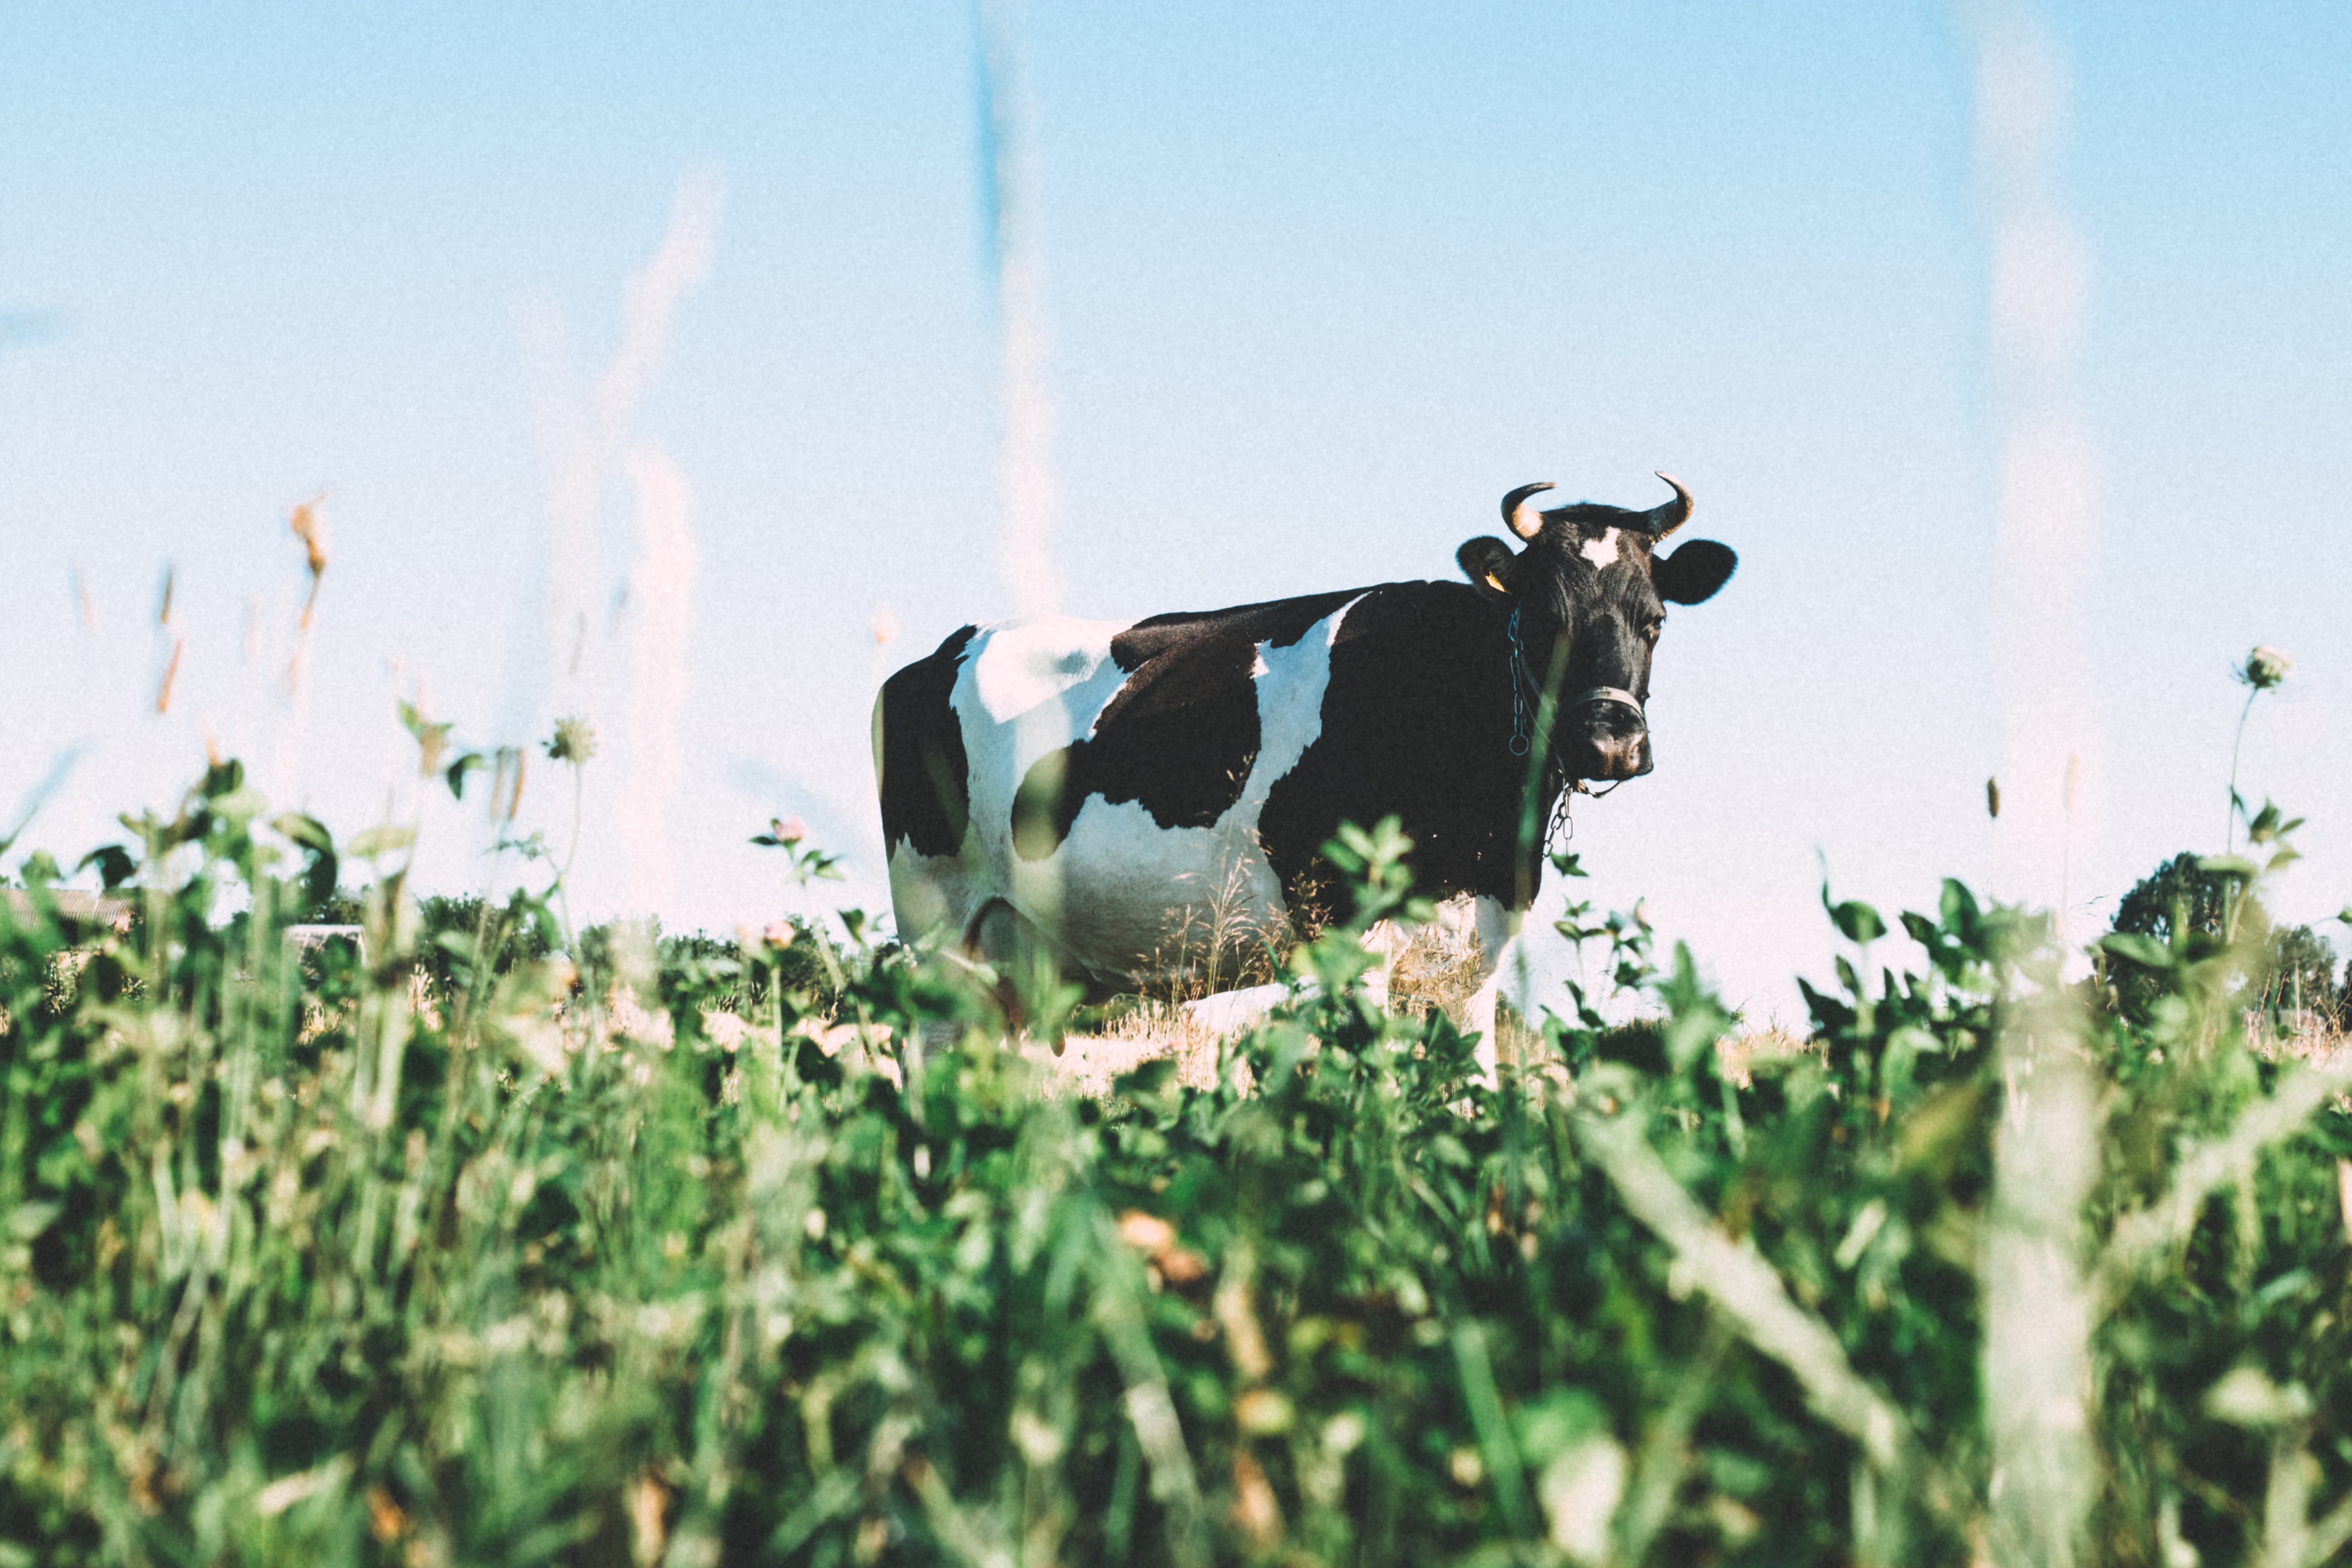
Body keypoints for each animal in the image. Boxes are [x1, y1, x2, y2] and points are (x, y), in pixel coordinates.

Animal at [875, 480, 1740, 1067]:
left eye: (1654, 619)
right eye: (1543, 619)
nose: (1609, 743)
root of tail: (940, 651)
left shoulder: (1480, 944)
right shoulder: (1347, 926)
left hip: (1024, 963)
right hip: (937, 925)